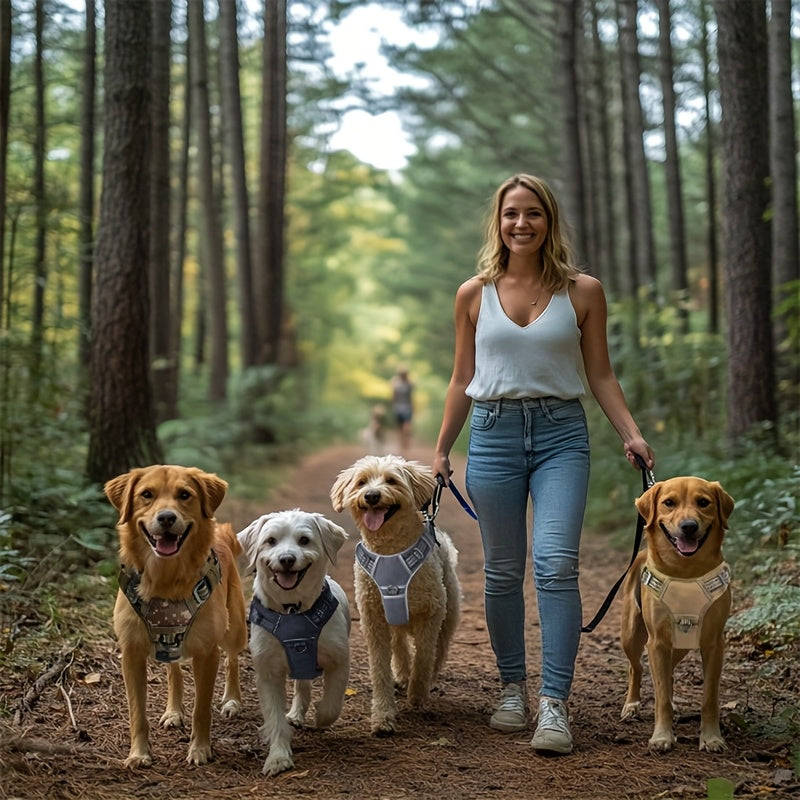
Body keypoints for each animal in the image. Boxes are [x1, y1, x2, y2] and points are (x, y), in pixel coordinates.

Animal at [238, 510, 350, 780]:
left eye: (304, 540)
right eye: (270, 541)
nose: (287, 559)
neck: (293, 611)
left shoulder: (339, 660)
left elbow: (332, 704)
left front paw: (321, 717)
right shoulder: (267, 672)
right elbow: (275, 719)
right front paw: (278, 758)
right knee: (302, 689)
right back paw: (296, 714)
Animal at [328, 454, 460, 736]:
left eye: (391, 480)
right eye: (361, 482)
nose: (371, 496)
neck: (390, 550)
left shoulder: (431, 611)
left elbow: (423, 656)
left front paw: (417, 694)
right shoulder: (373, 618)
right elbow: (380, 669)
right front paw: (383, 717)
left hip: (450, 610)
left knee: (439, 648)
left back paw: (428, 675)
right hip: (394, 619)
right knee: (399, 646)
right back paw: (401, 673)